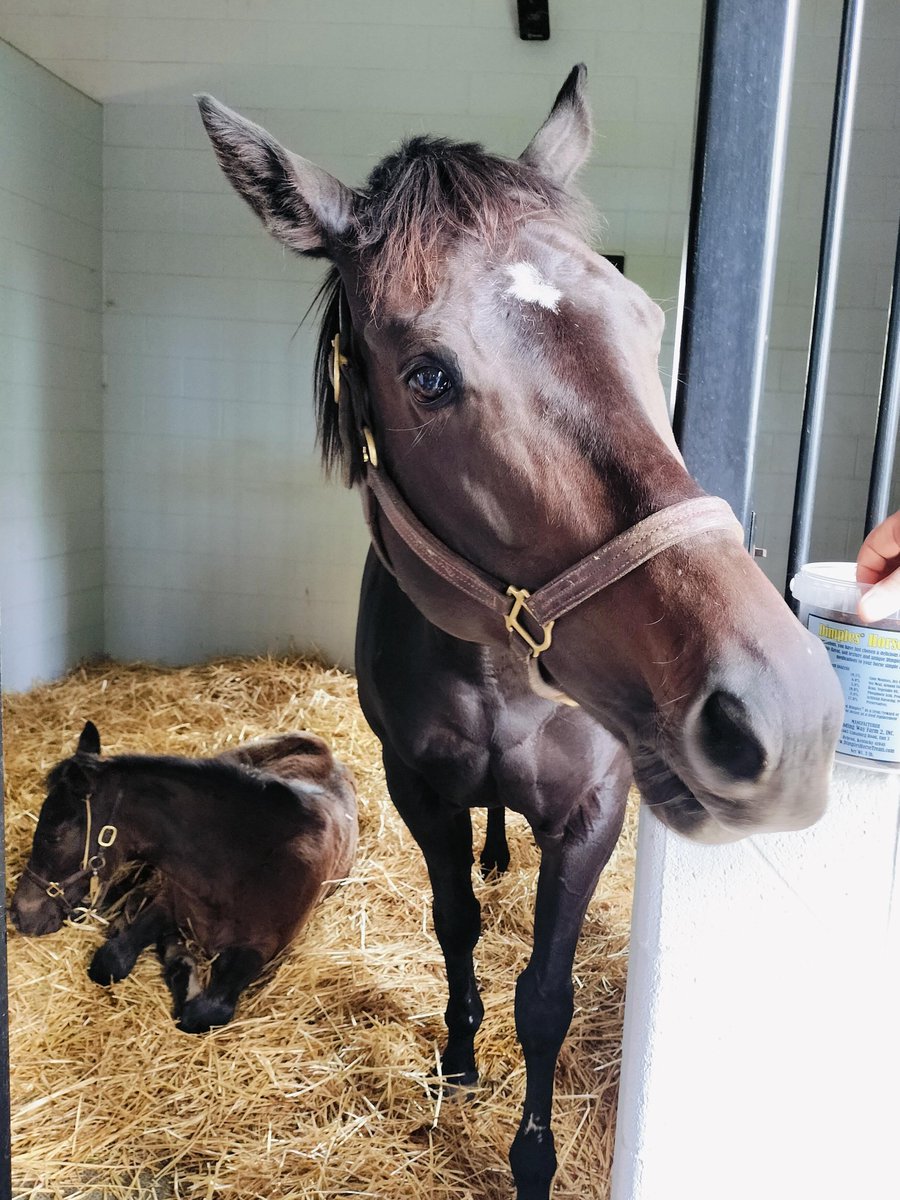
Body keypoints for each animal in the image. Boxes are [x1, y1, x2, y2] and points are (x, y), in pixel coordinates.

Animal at [10, 721, 358, 1034]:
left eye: (54, 835)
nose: (18, 914)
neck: (243, 865)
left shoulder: (263, 948)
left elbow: (204, 1014)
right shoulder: (169, 902)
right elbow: (111, 961)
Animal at [196, 65, 844, 1198]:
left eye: (646, 320)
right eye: (427, 375)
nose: (786, 713)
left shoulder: (593, 811)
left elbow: (547, 995)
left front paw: (532, 1160)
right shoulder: (417, 788)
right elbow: (455, 925)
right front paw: (458, 1061)